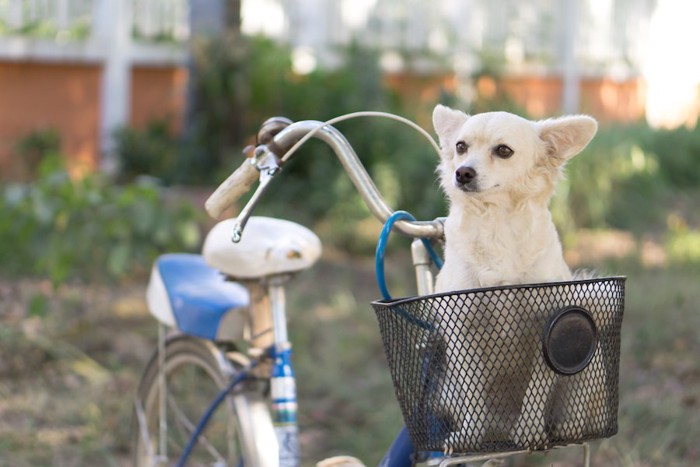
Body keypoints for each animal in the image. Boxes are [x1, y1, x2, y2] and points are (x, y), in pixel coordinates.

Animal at [430, 104, 600, 452]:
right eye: (461, 147)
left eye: (503, 151)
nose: (462, 172)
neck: (495, 221)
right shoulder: (460, 329)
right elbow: (473, 393)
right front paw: (470, 436)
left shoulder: (551, 329)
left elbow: (538, 386)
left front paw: (530, 431)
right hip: (447, 389)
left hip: (591, 357)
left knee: (572, 416)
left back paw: (564, 428)